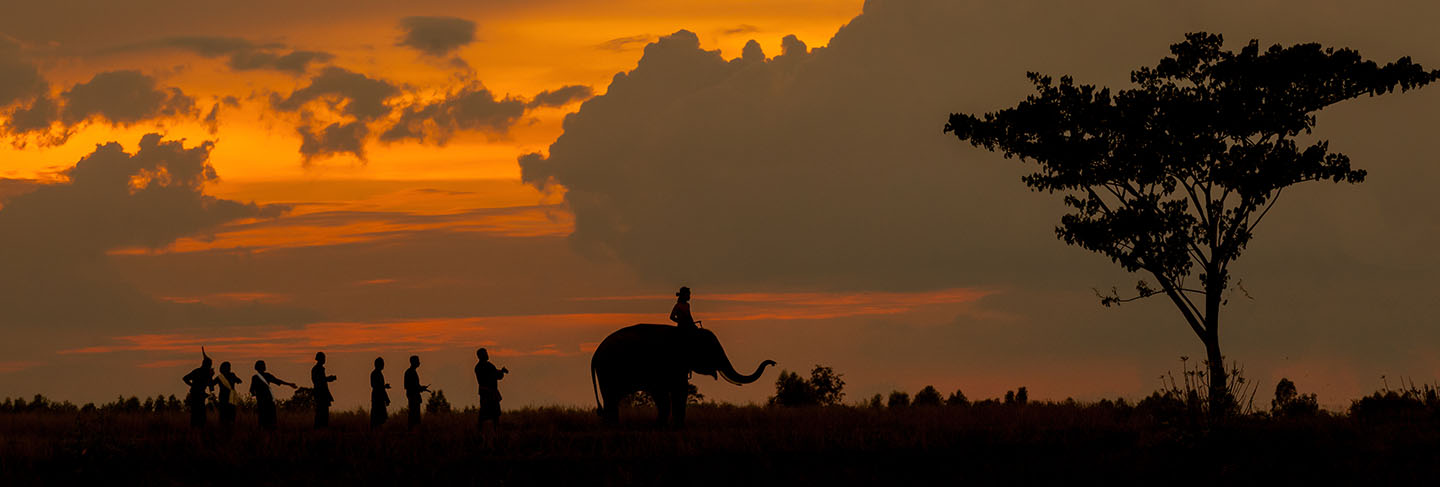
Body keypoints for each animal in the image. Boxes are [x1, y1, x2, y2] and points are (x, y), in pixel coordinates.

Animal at [590, 325, 777, 429]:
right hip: (608, 371)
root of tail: (595, 354)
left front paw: (669, 426)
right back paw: (613, 427)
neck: (687, 334)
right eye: (713, 351)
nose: (773, 363)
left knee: (611, 400)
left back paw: (612, 426)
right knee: (611, 398)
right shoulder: (667, 364)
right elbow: (672, 391)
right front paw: (665, 427)